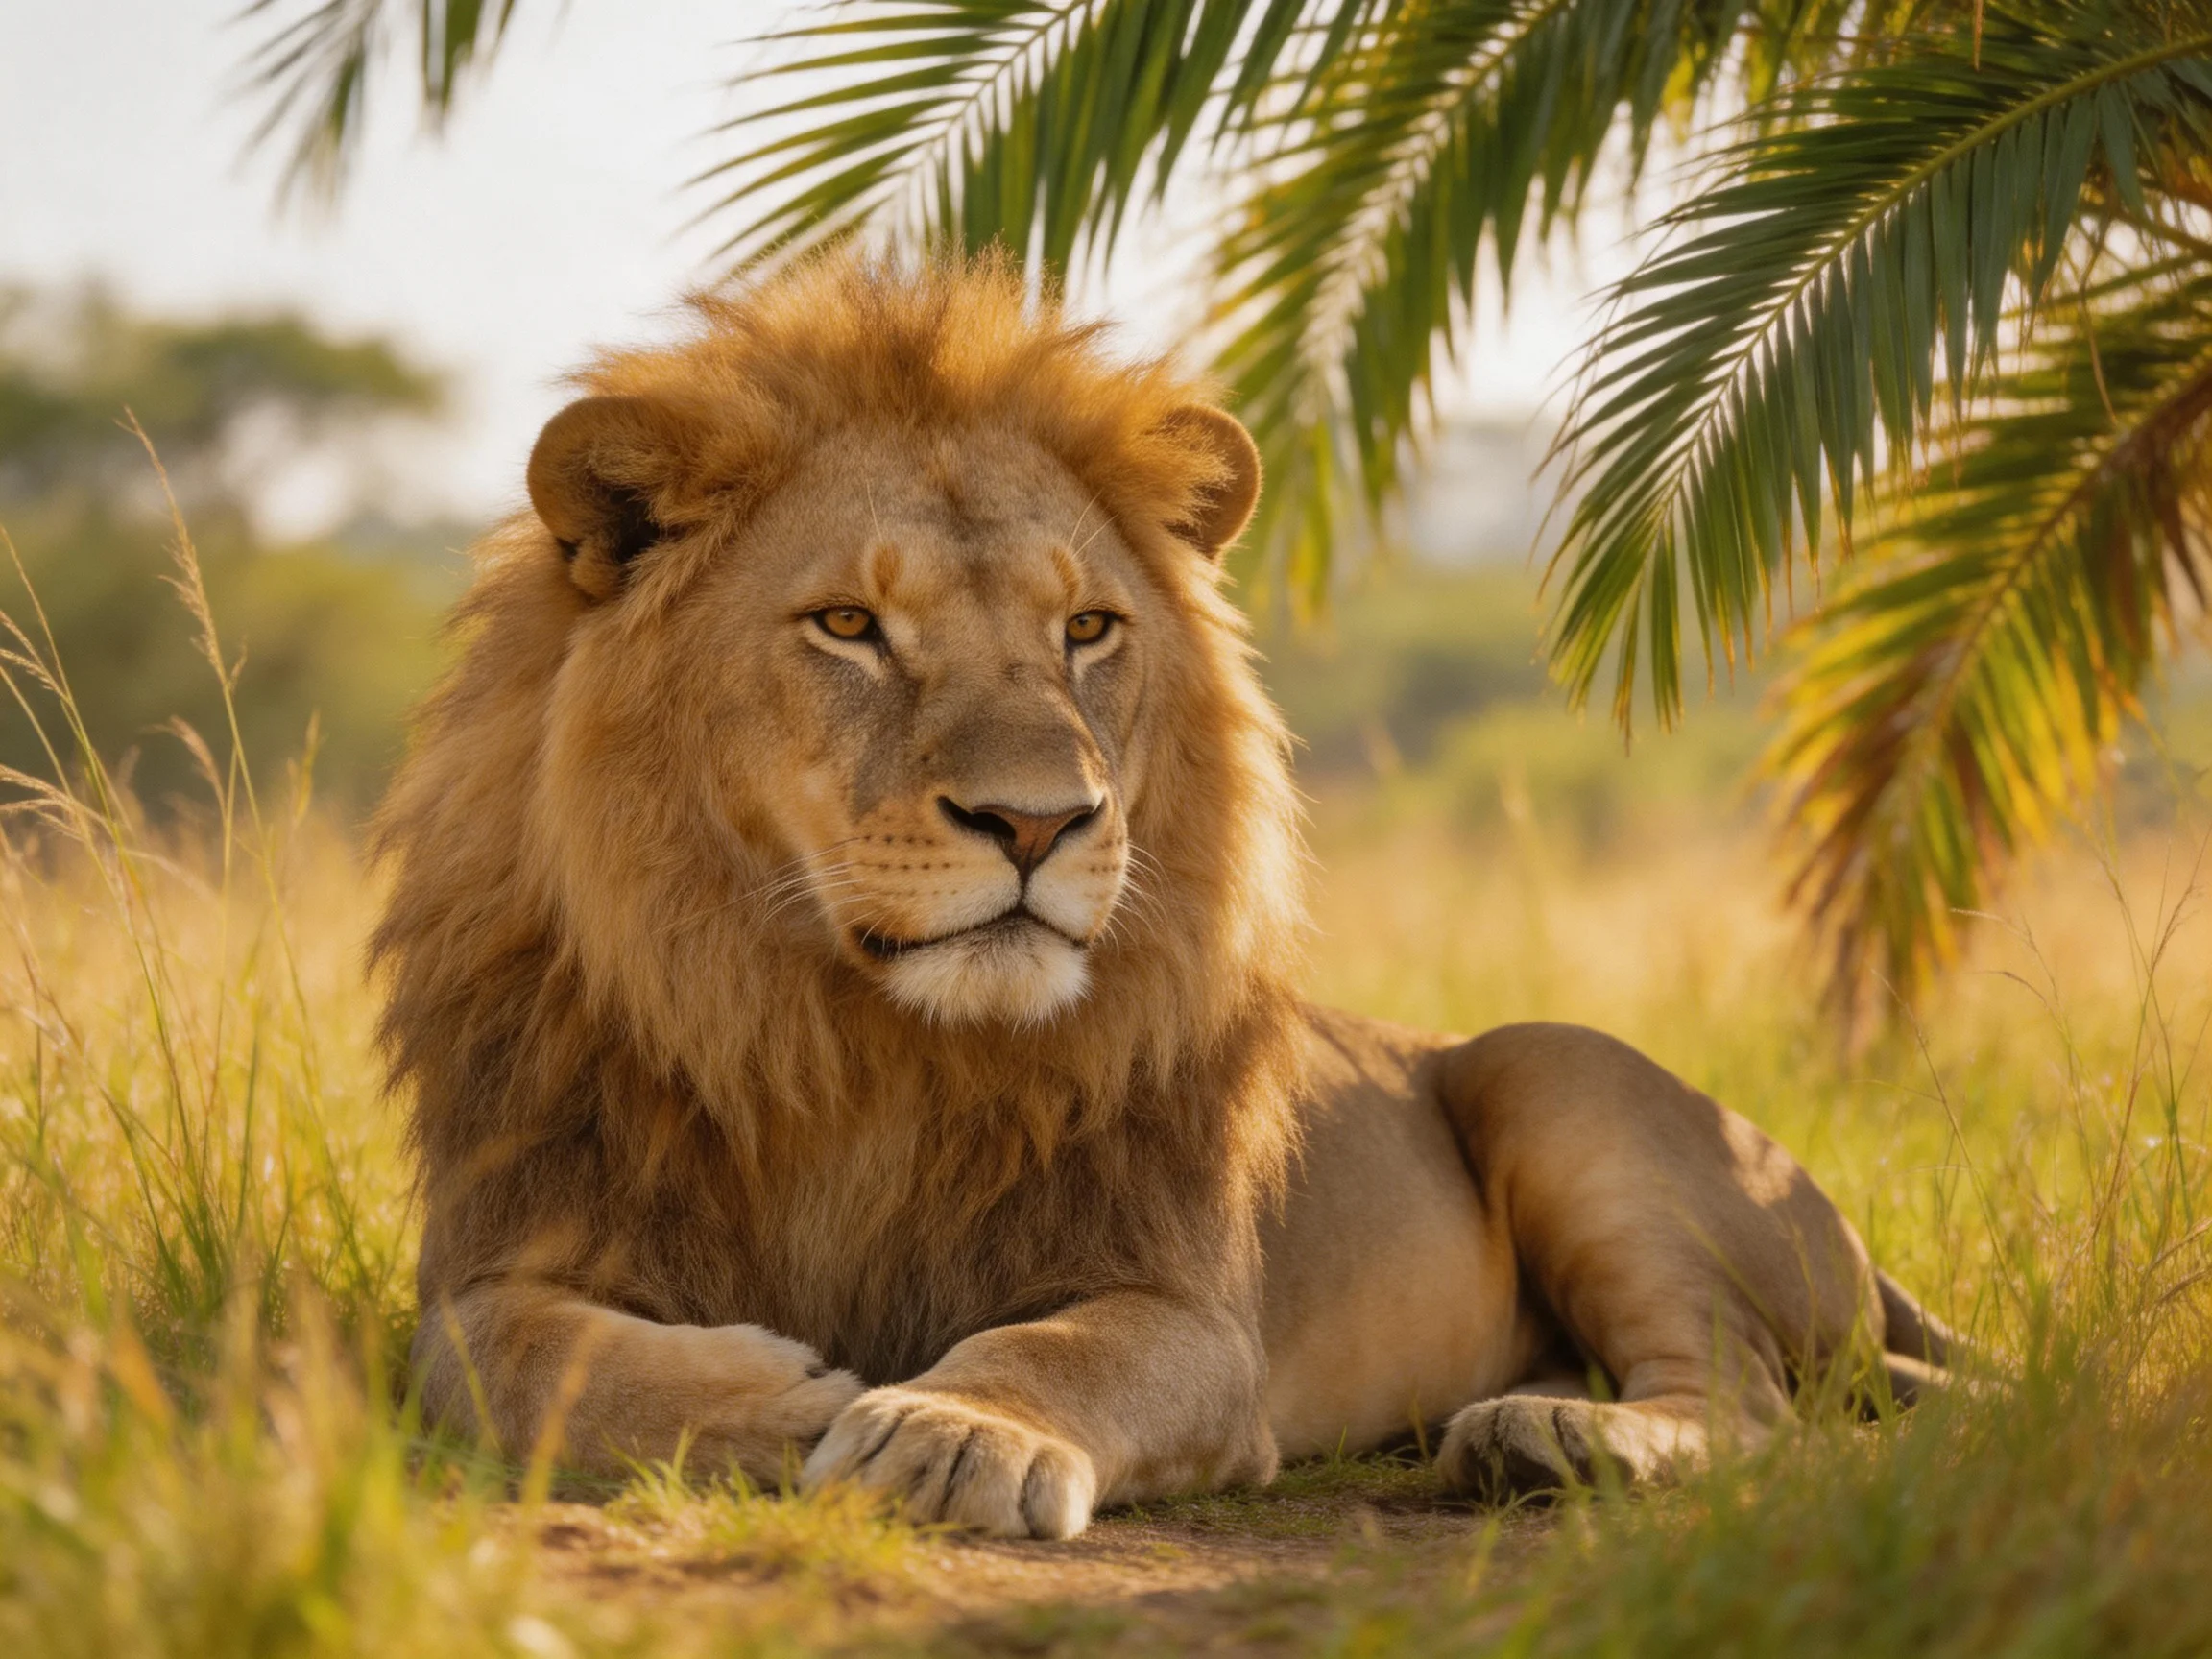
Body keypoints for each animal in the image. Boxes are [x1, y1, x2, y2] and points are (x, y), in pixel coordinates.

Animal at [375, 251, 1952, 1540]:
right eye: (848, 625)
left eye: (1087, 628)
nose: (1038, 821)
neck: (849, 1036)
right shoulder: (502, 1241)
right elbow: (497, 1358)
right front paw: (782, 1400)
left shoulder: (1192, 1313)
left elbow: (1064, 1349)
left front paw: (949, 1429)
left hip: (1558, 1076)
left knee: (1749, 1400)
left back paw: (1556, 1437)